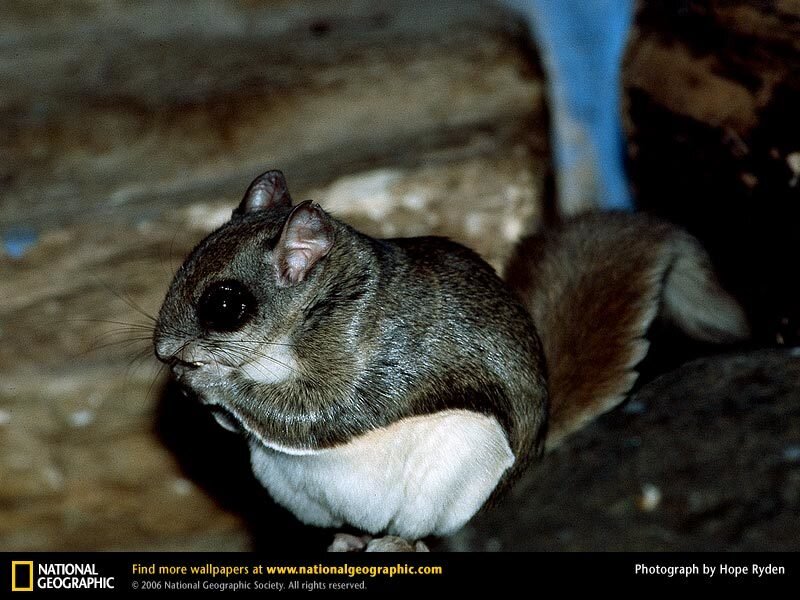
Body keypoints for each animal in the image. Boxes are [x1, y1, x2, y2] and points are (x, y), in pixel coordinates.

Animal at [153, 170, 749, 551]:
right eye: (189, 256)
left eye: (225, 305)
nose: (161, 350)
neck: (319, 303)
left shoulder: (371, 355)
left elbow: (322, 411)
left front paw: (211, 381)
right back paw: (352, 537)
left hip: (460, 467)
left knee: (427, 530)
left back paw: (397, 542)